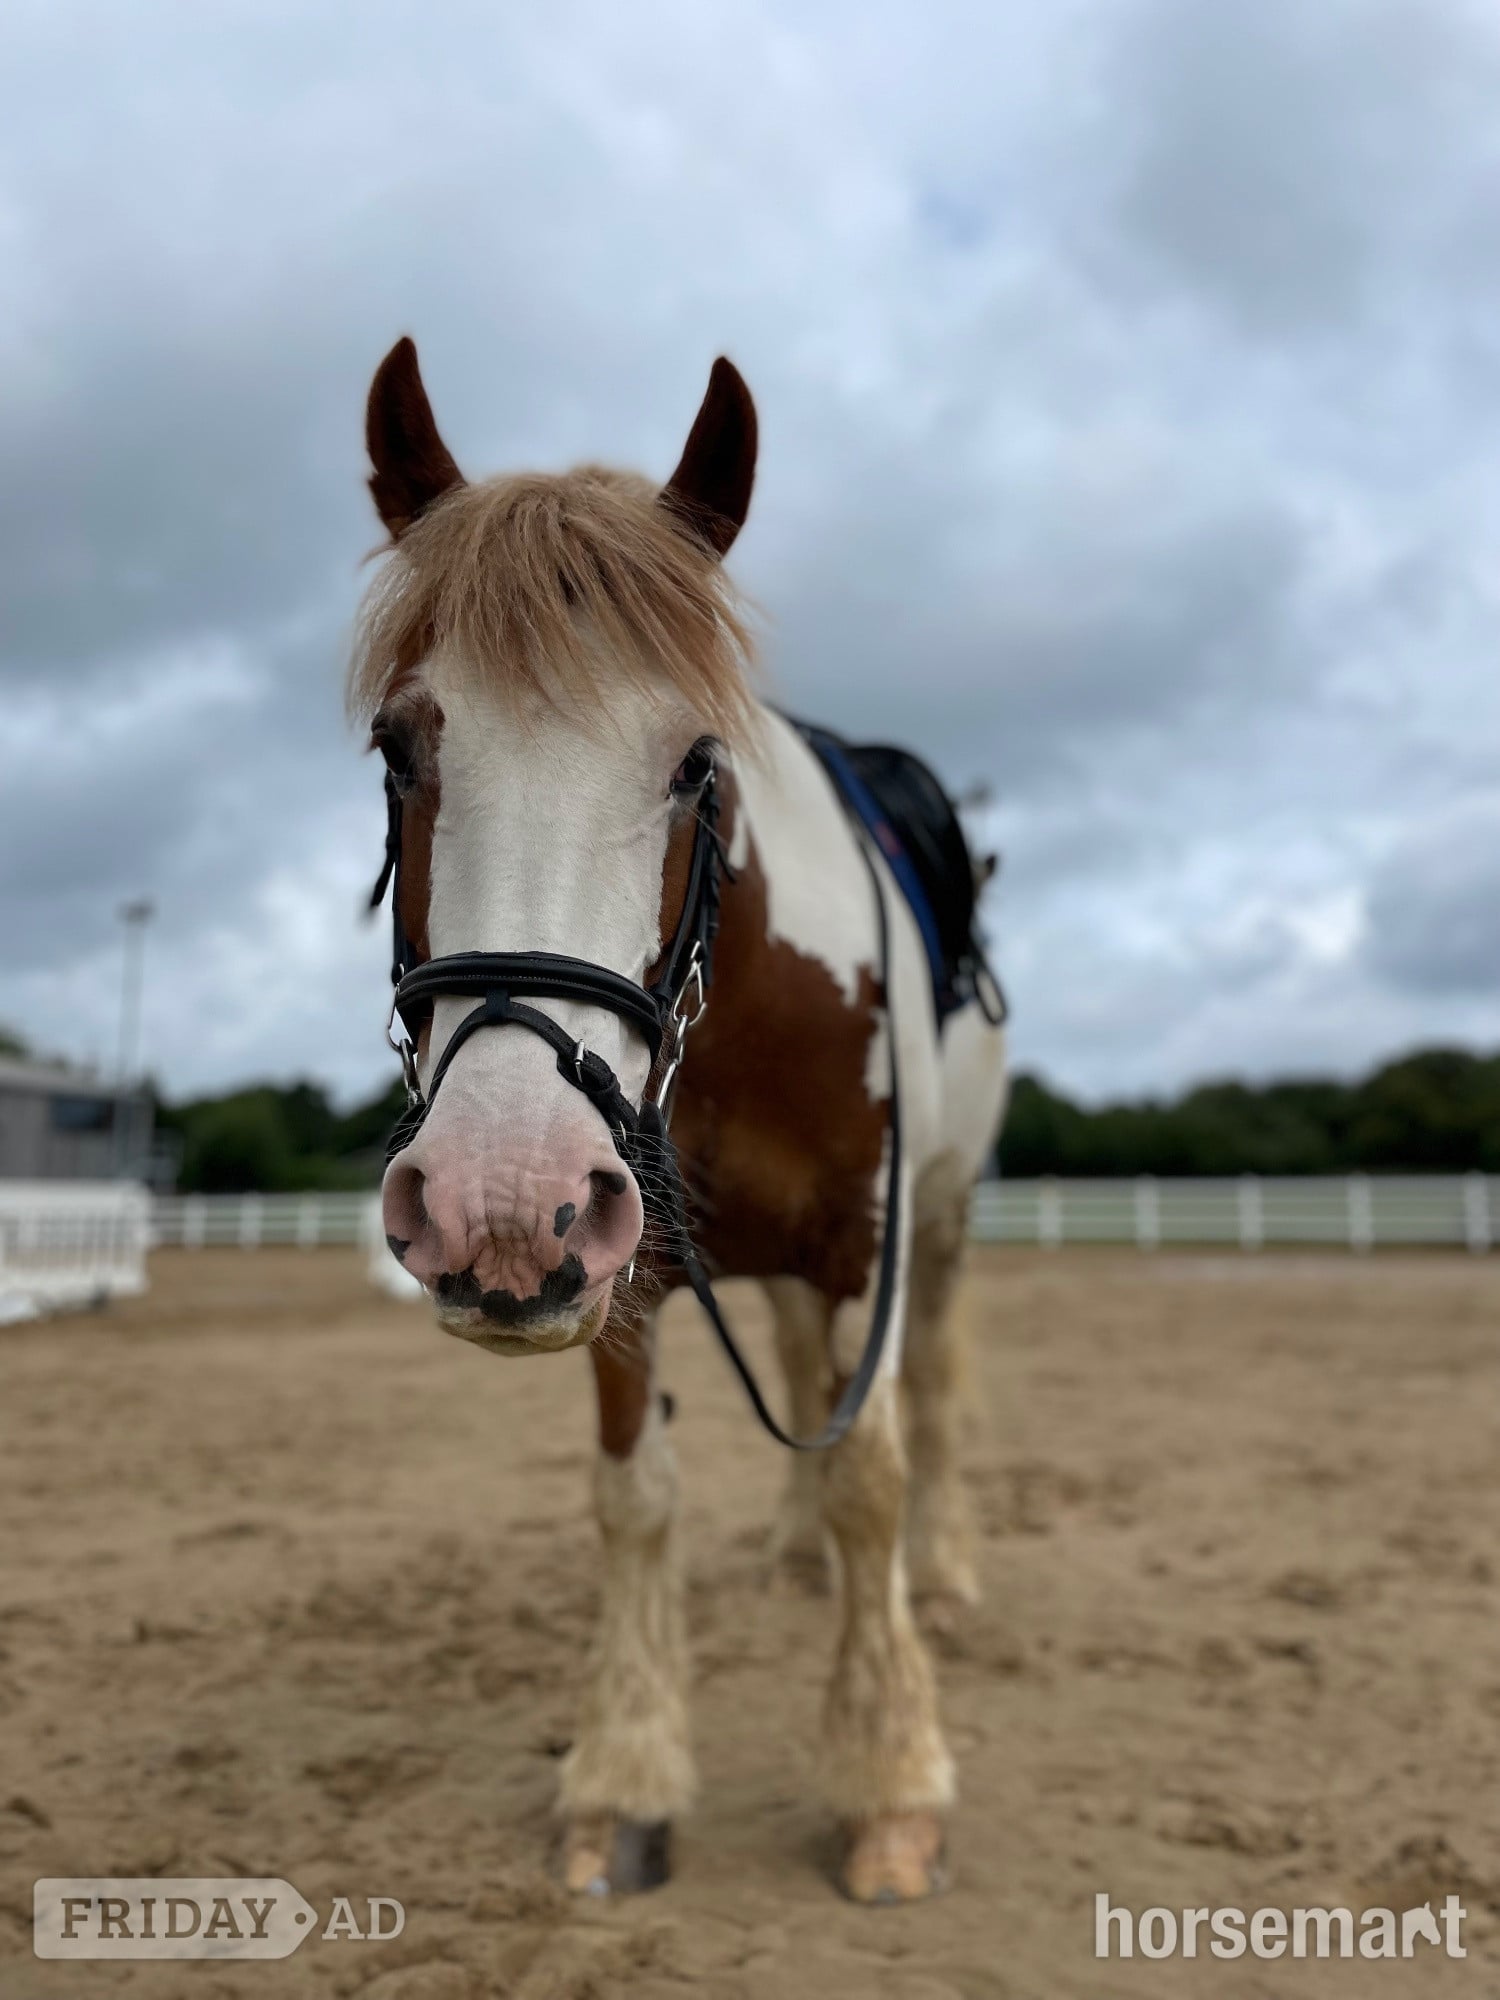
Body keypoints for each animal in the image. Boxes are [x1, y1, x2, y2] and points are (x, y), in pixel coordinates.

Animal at [351, 337, 1009, 1904]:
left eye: (699, 762)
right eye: (399, 748)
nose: (496, 1197)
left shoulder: (875, 1237)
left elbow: (878, 1470)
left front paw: (890, 1780)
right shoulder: (618, 1260)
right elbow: (637, 1493)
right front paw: (624, 1778)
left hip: (947, 1219)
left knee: (929, 1399)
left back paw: (943, 1573)